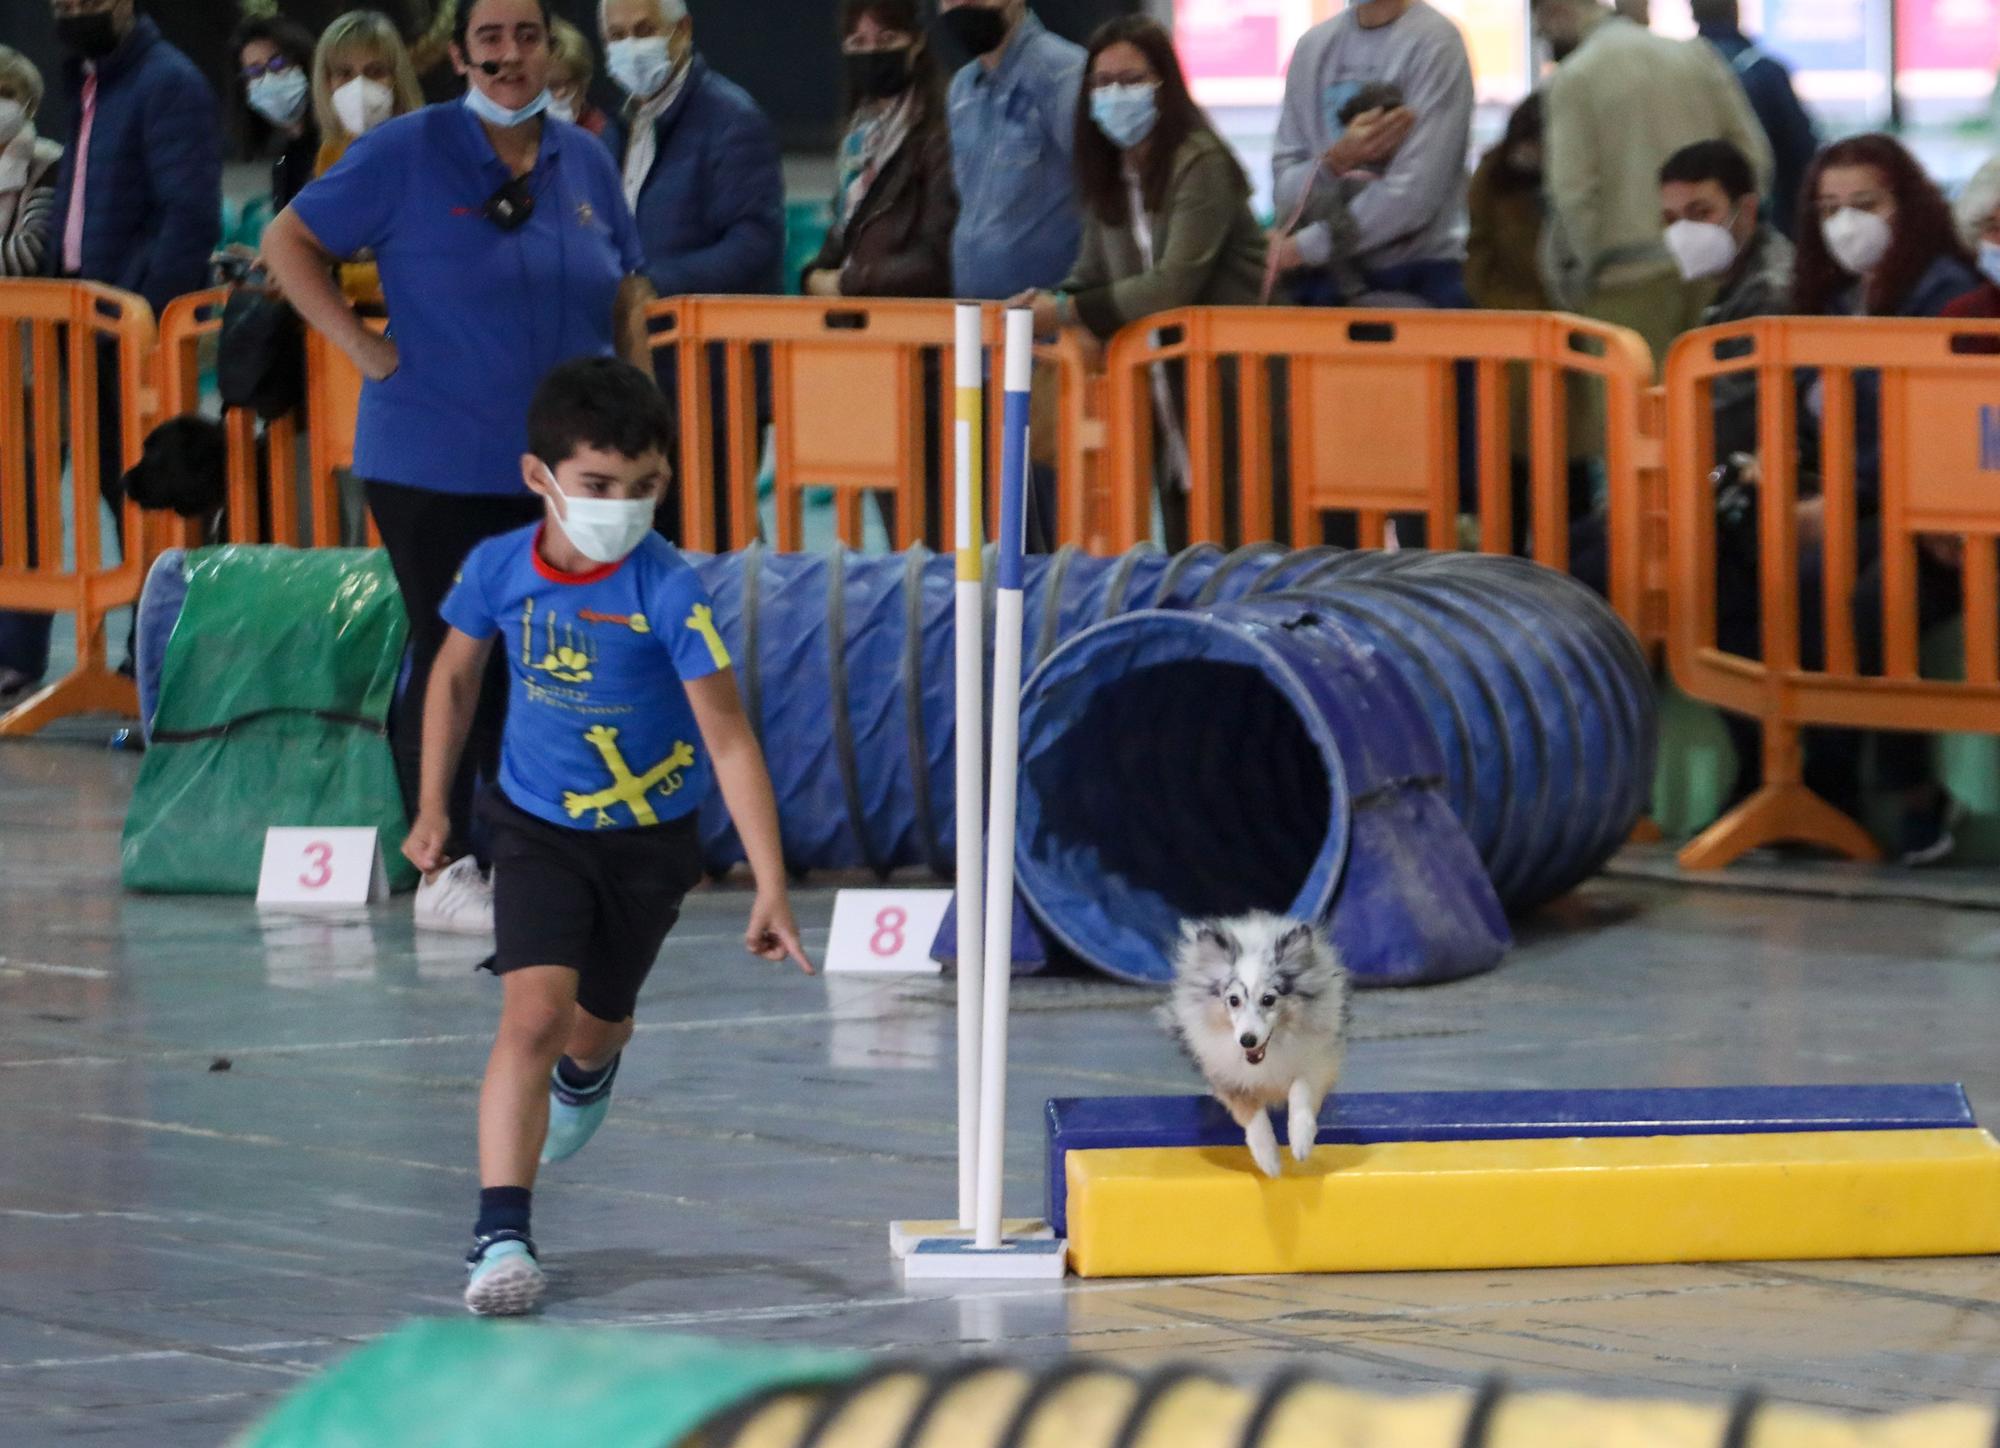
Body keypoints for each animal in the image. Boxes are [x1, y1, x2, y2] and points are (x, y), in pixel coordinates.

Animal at [1168, 916, 1352, 1176]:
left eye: (1268, 999)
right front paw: (1270, 1162)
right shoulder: (1228, 1078)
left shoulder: (1316, 1063)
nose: (1247, 1040)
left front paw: (1301, 1143)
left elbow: (1301, 1091)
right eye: (1233, 1000)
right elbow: (1252, 1113)